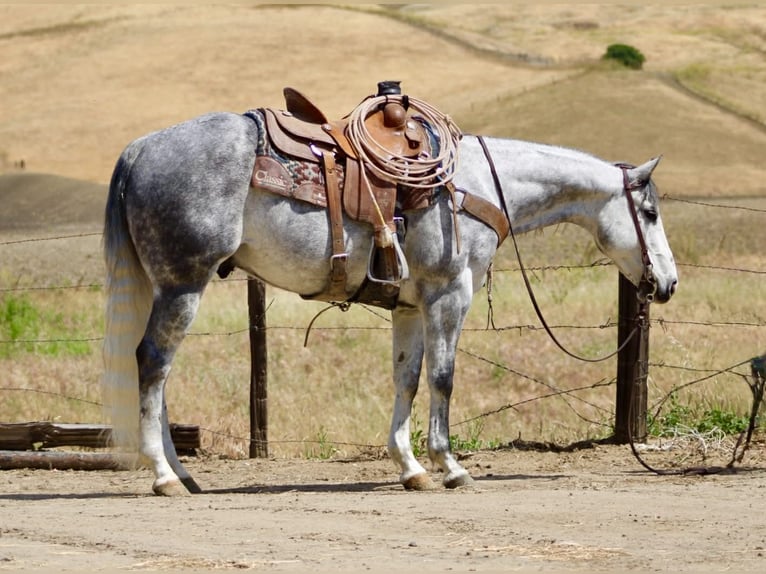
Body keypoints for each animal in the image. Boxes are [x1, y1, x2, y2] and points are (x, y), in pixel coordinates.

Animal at [102, 102, 677, 496]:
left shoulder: (409, 307)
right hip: (184, 284)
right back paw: (164, 477)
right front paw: (451, 466)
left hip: (168, 288)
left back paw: (183, 474)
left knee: (158, 372)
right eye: (650, 213)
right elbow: (443, 378)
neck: (473, 186)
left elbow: (408, 378)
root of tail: (139, 149)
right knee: (152, 363)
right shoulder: (449, 295)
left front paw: (412, 468)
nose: (668, 284)